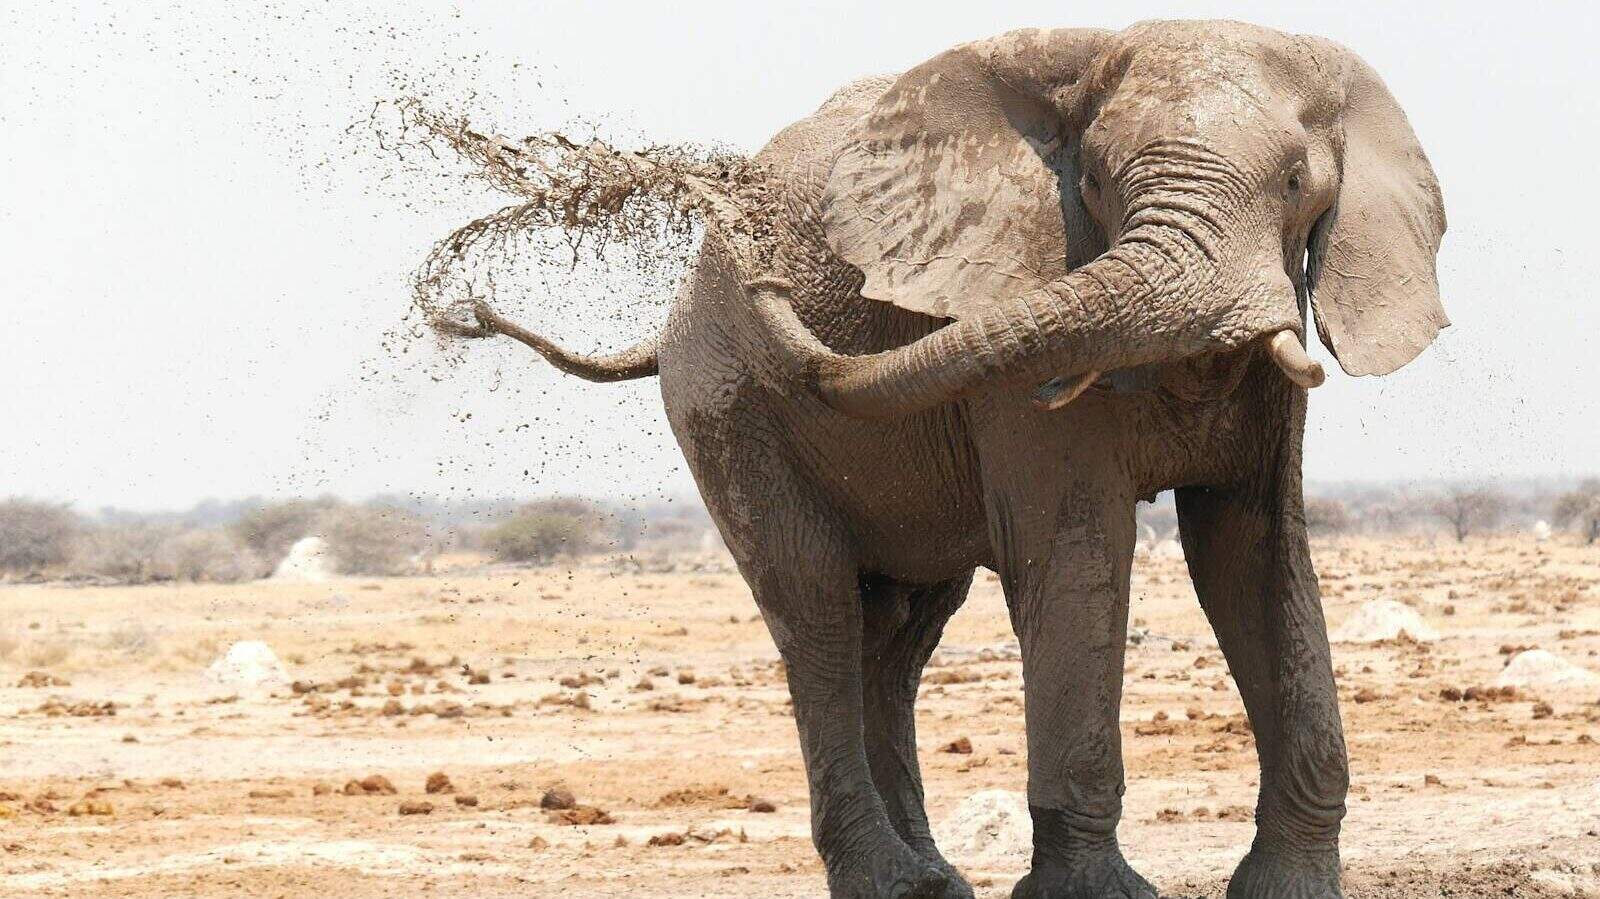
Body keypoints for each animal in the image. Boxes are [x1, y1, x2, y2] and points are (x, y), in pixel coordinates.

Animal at [448, 19, 1447, 899]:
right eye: (1093, 180)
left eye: (1297, 180)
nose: (764, 268)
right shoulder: (1017, 322)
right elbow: (1077, 551)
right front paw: (1096, 893)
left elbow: (1255, 555)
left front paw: (1290, 886)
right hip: (728, 407)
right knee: (816, 611)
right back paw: (890, 880)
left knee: (896, 635)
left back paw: (931, 878)